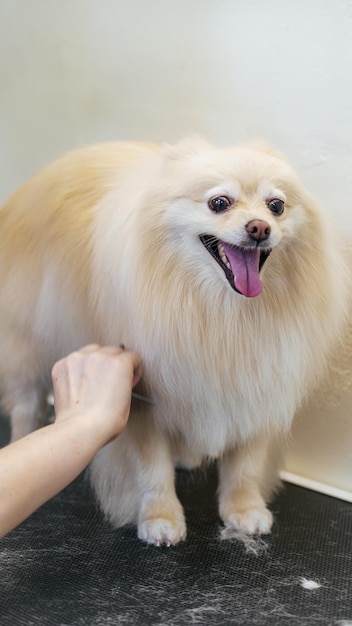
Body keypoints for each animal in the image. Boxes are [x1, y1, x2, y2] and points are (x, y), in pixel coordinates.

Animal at [0, 138, 350, 540]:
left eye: (276, 206)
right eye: (219, 202)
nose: (260, 227)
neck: (223, 314)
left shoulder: (260, 382)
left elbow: (247, 462)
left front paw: (244, 508)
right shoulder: (141, 394)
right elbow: (151, 466)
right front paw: (160, 516)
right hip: (28, 340)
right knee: (26, 404)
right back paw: (21, 440)